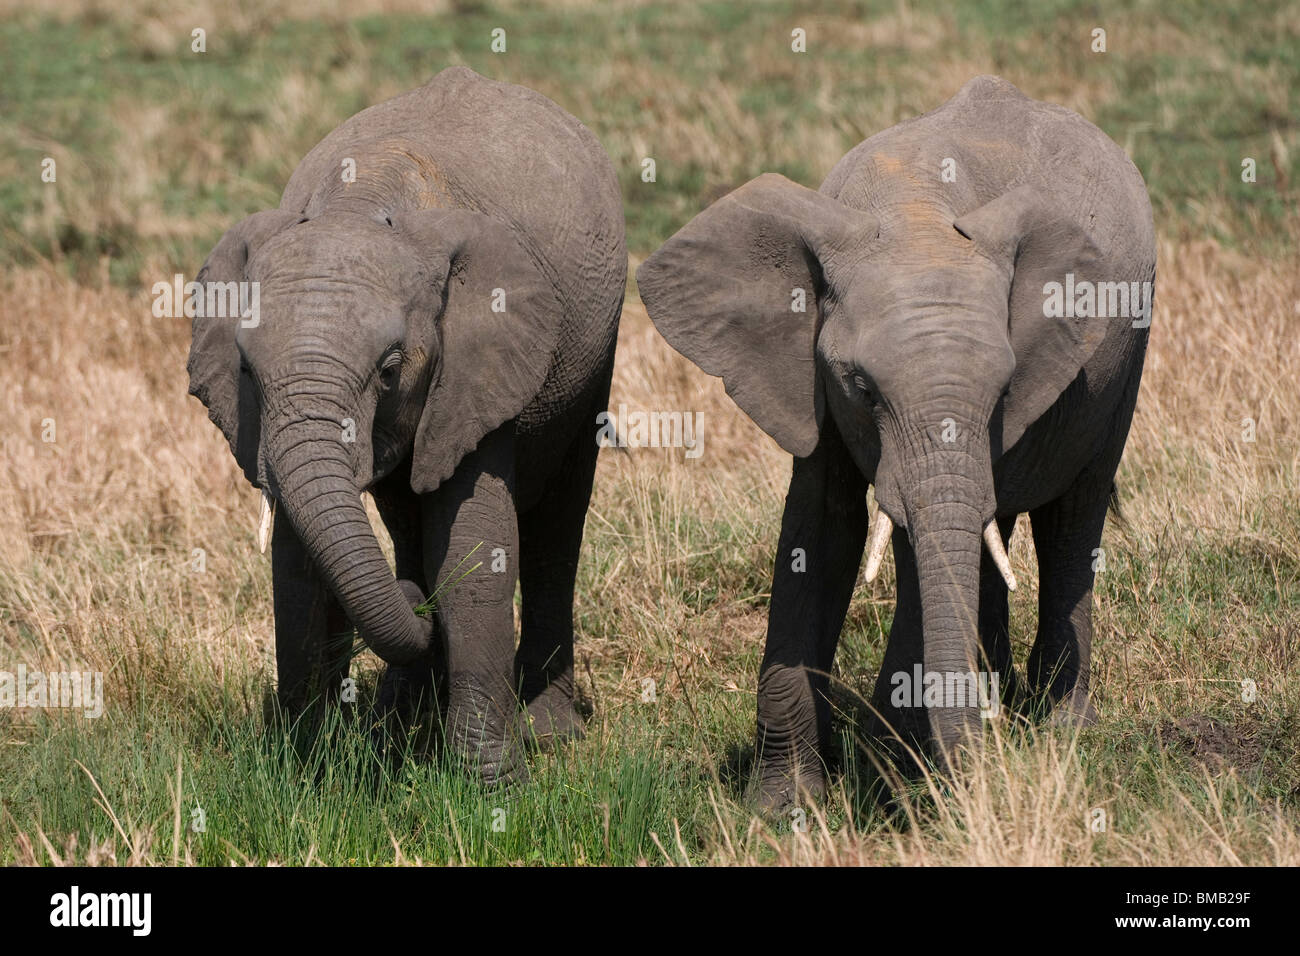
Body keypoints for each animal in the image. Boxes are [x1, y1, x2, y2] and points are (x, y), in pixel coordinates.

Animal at [187, 65, 624, 785]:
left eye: (391, 368)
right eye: (246, 370)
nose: (412, 601)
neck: (363, 199)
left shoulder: (480, 357)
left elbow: (476, 544)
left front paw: (492, 783)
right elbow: (298, 566)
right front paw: (308, 765)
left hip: (594, 355)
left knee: (558, 522)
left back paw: (545, 732)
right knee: (403, 518)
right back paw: (401, 717)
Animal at [634, 76, 1154, 806]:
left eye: (1004, 388)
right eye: (862, 387)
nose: (975, 780)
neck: (916, 213)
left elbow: (915, 546)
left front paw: (894, 770)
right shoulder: (812, 378)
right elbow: (822, 525)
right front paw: (784, 807)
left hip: (1129, 357)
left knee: (1072, 520)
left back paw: (1058, 731)